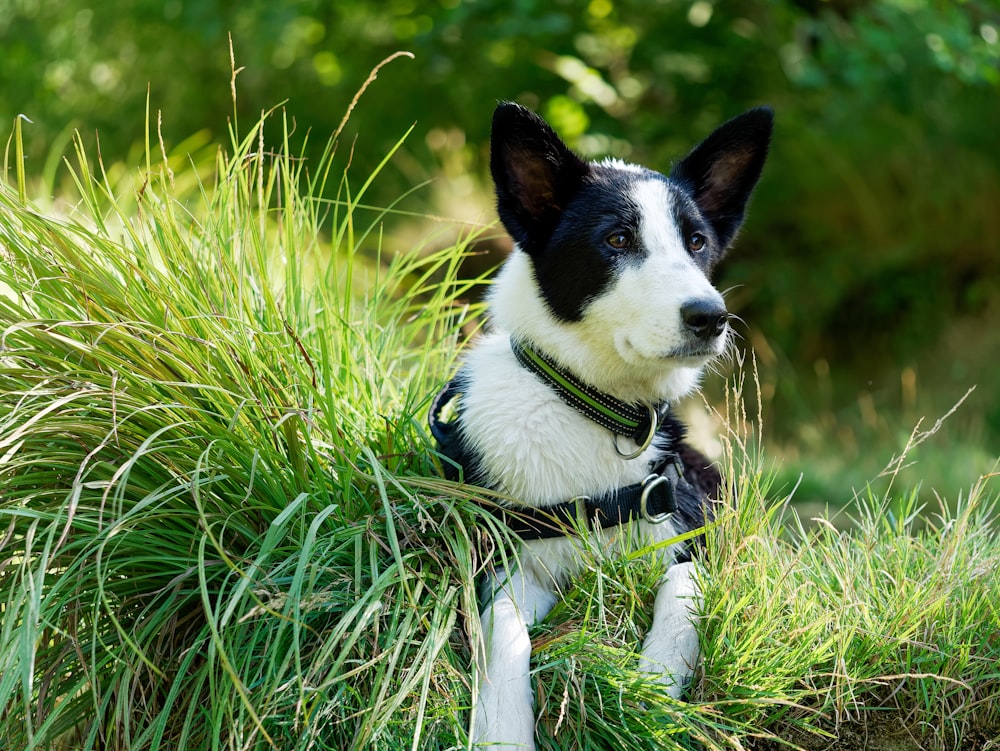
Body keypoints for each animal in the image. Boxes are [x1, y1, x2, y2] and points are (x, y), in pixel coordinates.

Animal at [426, 101, 768, 751]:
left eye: (696, 242)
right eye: (617, 239)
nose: (711, 317)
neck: (594, 408)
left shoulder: (685, 531)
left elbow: (681, 596)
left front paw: (653, 689)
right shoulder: (503, 560)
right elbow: (503, 628)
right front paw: (502, 729)